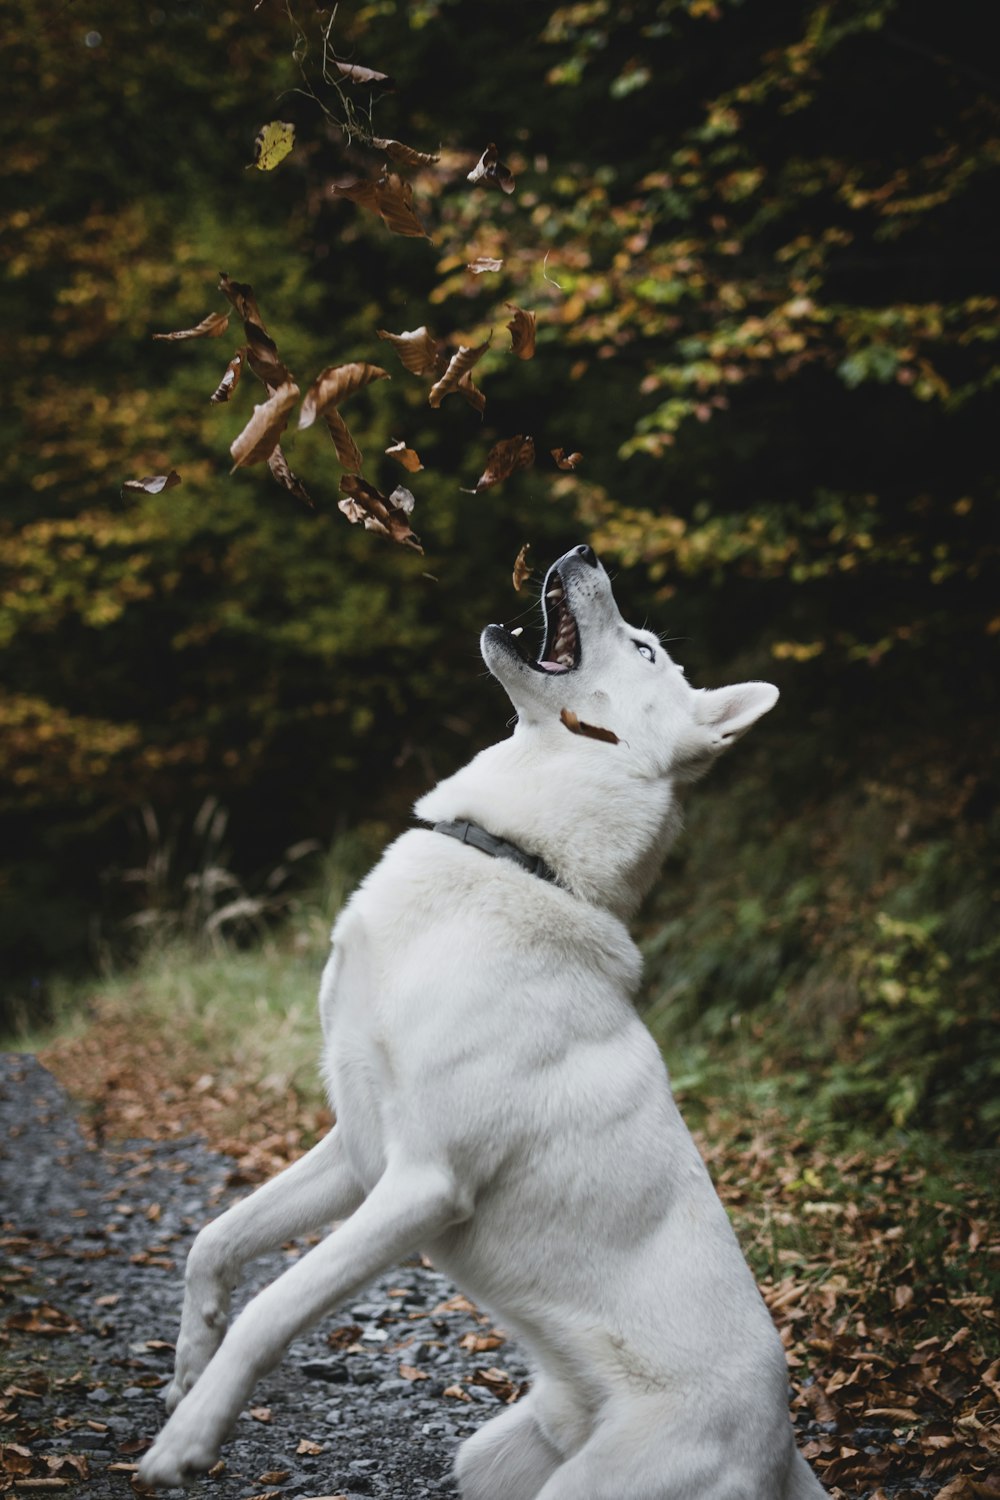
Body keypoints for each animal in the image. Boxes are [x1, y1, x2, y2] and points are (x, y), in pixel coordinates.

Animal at [140, 546, 827, 1494]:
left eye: (645, 648)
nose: (583, 551)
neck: (523, 859)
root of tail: (784, 1450)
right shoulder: (357, 1153)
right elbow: (216, 1239)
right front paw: (186, 1366)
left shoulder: (424, 1184)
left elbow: (273, 1308)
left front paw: (189, 1438)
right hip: (493, 1461)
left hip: (597, 1482)